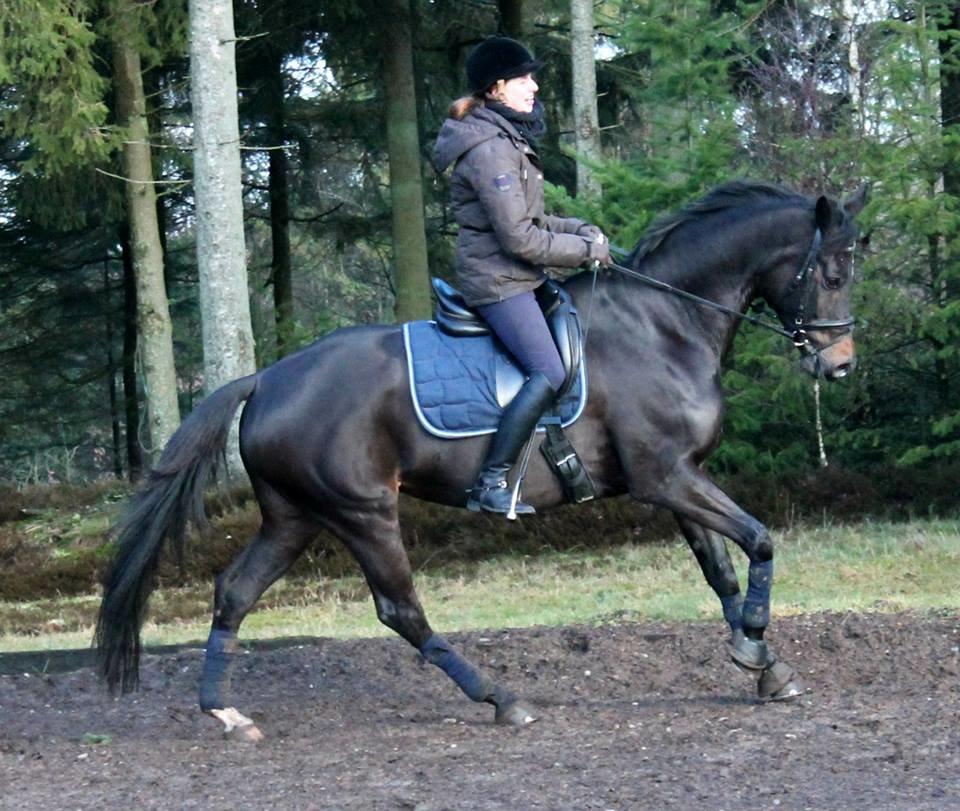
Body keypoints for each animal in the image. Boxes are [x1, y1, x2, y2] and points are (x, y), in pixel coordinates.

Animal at [99, 181, 872, 740]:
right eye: (833, 272)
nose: (839, 365)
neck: (664, 323)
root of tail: (266, 379)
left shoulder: (677, 477)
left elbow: (721, 571)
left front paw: (762, 664)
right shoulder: (667, 477)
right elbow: (759, 540)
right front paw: (756, 648)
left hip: (295, 517)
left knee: (235, 591)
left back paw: (223, 711)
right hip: (362, 511)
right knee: (400, 610)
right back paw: (501, 698)